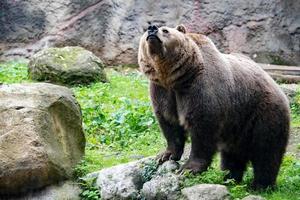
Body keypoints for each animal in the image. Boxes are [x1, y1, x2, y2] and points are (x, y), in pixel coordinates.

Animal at [138, 23, 290, 189]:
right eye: (146, 30)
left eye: (165, 30)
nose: (152, 28)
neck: (175, 77)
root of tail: (276, 86)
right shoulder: (162, 91)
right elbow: (169, 123)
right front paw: (165, 155)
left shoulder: (200, 87)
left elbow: (202, 128)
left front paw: (189, 168)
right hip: (237, 126)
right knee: (232, 155)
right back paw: (230, 177)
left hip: (262, 113)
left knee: (266, 151)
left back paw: (260, 185)